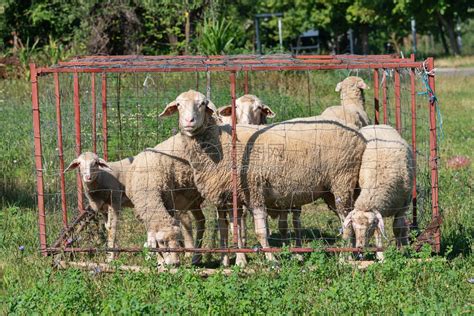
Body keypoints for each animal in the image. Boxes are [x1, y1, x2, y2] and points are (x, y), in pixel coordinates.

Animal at [159, 89, 366, 266]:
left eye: (202, 104)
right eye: (178, 105)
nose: (189, 121)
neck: (219, 145)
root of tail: (359, 135)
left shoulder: (254, 190)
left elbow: (260, 231)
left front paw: (271, 260)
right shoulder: (230, 197)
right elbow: (231, 230)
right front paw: (235, 261)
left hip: (342, 181)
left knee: (347, 221)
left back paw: (345, 258)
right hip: (333, 190)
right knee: (349, 219)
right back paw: (354, 253)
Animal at [342, 124, 412, 260]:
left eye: (370, 225)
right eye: (353, 225)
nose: (359, 247)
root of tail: (376, 124)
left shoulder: (404, 205)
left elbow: (398, 227)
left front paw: (400, 250)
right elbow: (378, 232)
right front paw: (380, 255)